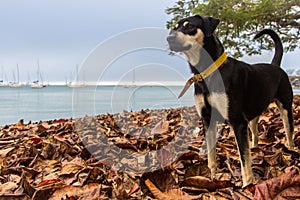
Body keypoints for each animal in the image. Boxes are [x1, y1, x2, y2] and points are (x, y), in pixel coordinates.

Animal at [168, 14, 294, 187]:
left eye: (189, 26)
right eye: (176, 27)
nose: (169, 38)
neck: (209, 72)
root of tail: (275, 66)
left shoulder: (238, 122)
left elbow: (244, 160)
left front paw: (247, 185)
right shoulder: (207, 119)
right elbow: (211, 155)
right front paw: (211, 176)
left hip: (286, 108)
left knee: (289, 132)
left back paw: (290, 149)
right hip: (254, 112)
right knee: (255, 132)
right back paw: (255, 148)